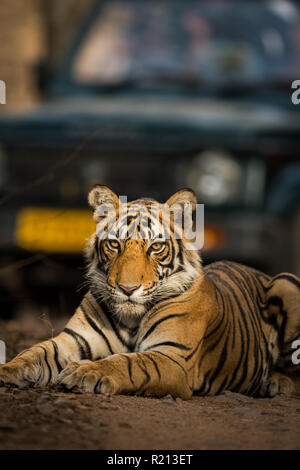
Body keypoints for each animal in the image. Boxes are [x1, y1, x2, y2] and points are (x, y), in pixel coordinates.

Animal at [0, 185, 300, 398]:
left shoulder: (172, 357)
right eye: (114, 245)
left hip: (287, 283)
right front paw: (7, 369)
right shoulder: (73, 340)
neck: (132, 318)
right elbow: (36, 351)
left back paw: (277, 383)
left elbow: (128, 362)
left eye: (155, 247)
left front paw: (86, 371)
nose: (127, 288)